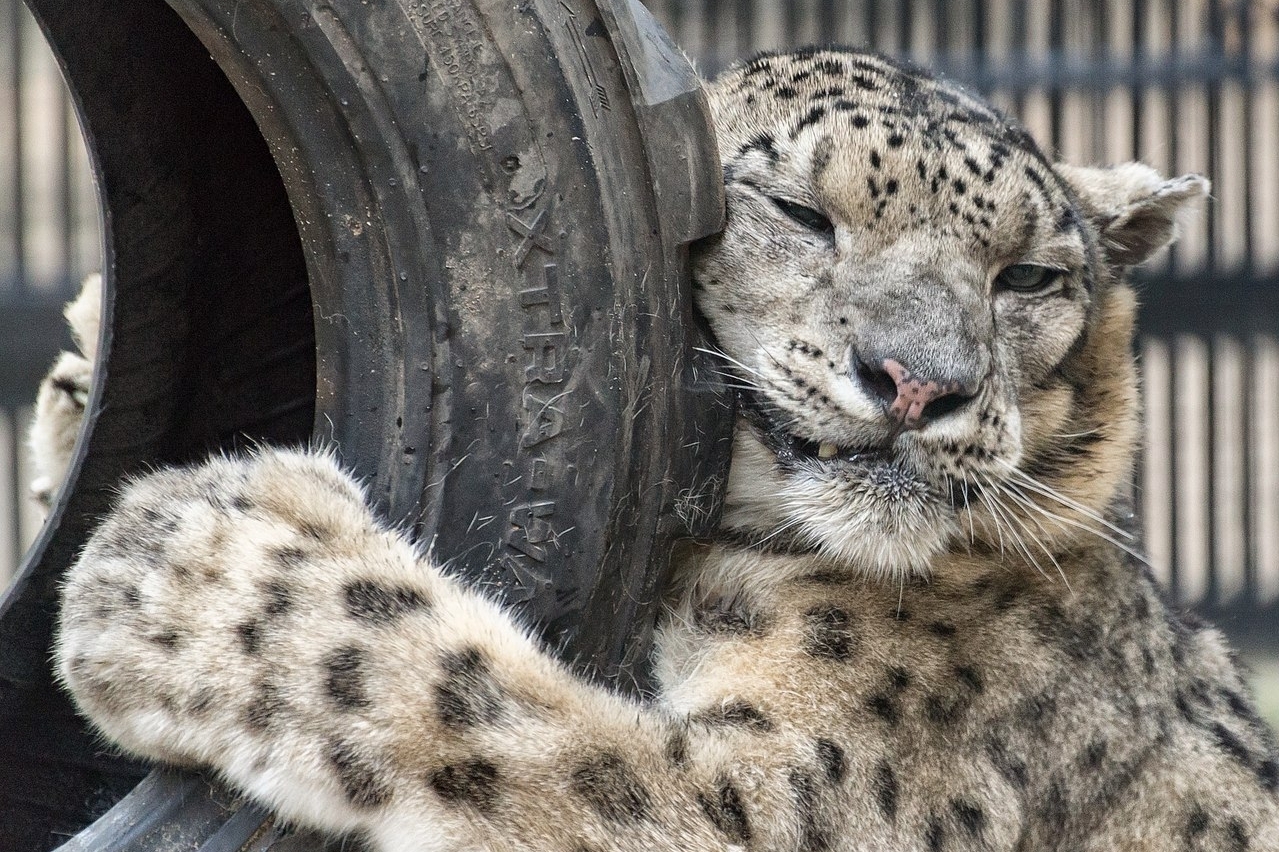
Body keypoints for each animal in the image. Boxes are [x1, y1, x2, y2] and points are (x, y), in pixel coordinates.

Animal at [39, 47, 1279, 849]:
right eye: (798, 212)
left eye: (1026, 277)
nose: (921, 381)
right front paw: (86, 370)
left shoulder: (777, 798)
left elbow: (503, 715)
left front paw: (192, 568)